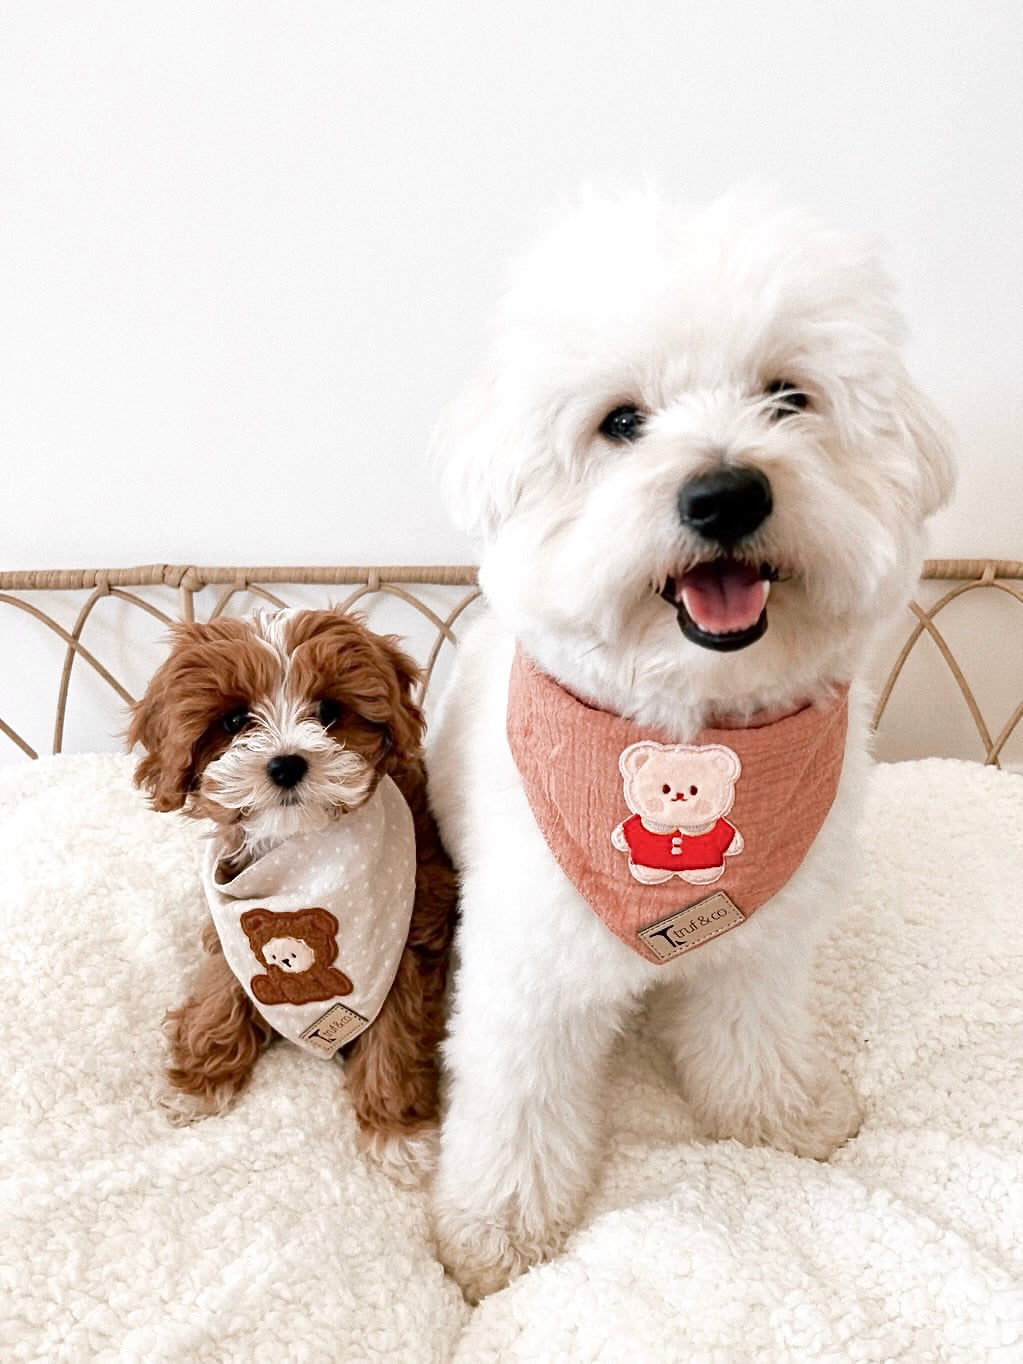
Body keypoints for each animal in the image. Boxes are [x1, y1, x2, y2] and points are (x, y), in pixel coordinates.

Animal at [428, 192, 960, 1298]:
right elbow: (517, 1100)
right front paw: (495, 1228)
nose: (725, 494)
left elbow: (750, 1033)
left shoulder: (760, 942)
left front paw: (779, 1112)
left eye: (789, 397)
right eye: (621, 422)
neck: (691, 727)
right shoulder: (528, 967)